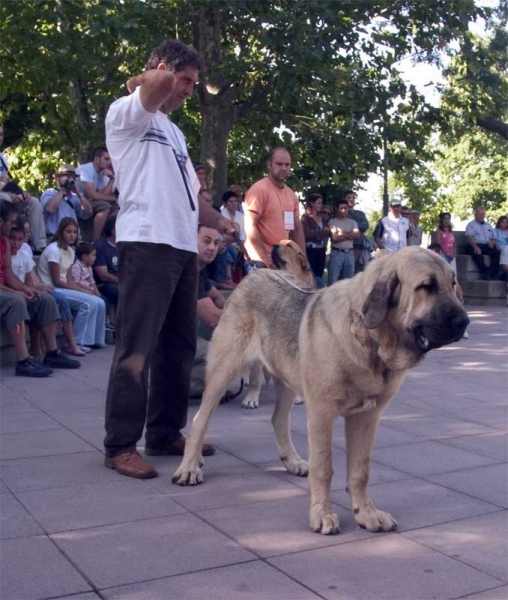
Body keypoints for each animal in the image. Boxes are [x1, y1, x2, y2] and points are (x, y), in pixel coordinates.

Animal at [175, 247, 468, 536]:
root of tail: (254, 274)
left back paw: (292, 461)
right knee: (200, 419)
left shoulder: (367, 417)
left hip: (285, 378)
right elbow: (324, 468)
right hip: (223, 371)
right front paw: (322, 515)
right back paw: (189, 466)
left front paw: (366, 513)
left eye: (453, 285)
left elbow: (360, 470)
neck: (367, 338)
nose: (464, 322)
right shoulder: (321, 414)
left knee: (278, 419)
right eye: (426, 287)